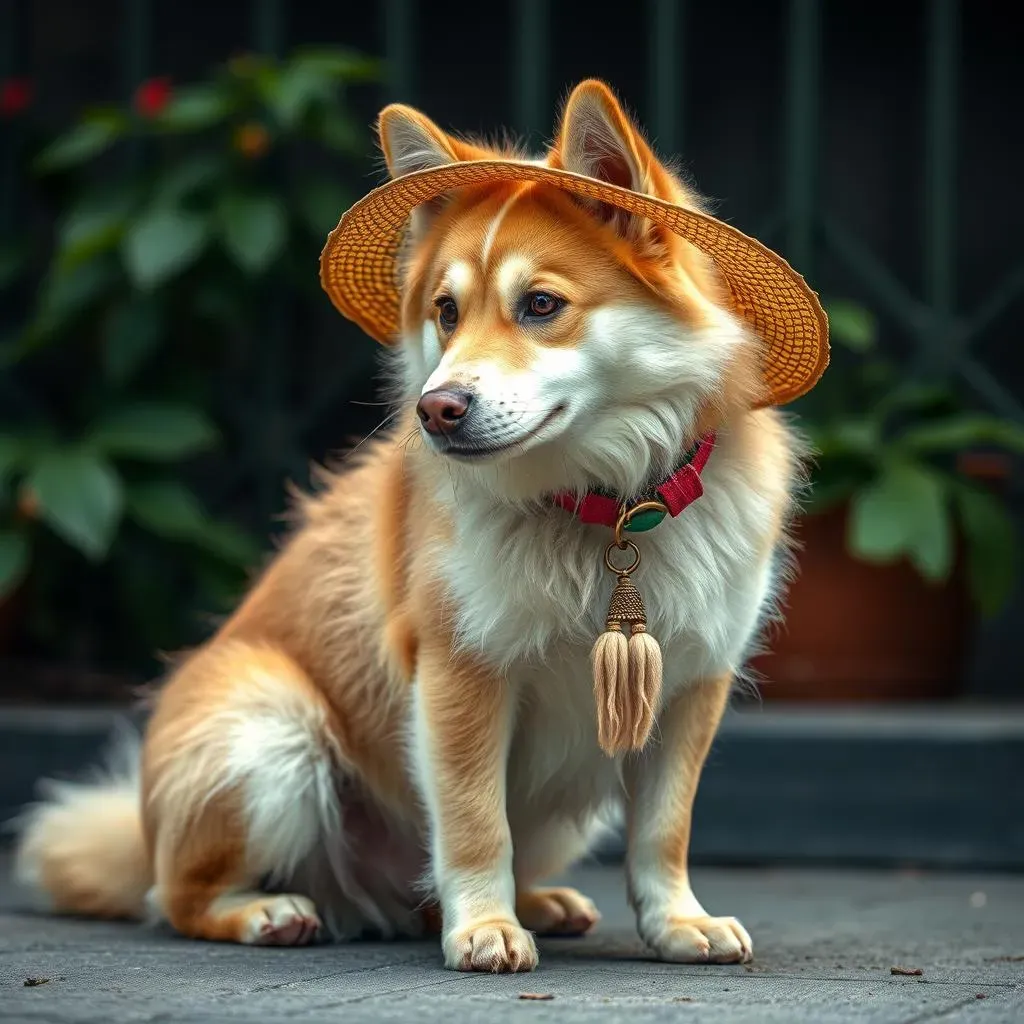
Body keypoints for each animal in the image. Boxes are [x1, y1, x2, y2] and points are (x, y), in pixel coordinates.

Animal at [12, 77, 819, 966]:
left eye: (542, 305)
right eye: (445, 311)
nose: (438, 408)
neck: (601, 505)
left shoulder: (690, 684)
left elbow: (664, 830)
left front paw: (677, 920)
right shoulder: (459, 671)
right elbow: (472, 821)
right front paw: (486, 926)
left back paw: (536, 903)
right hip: (270, 736)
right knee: (179, 895)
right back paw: (269, 911)